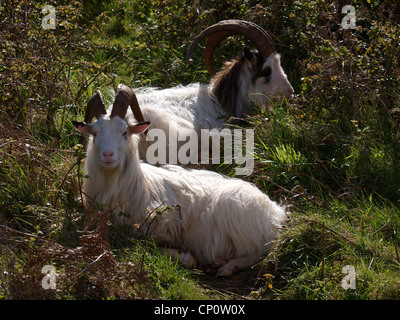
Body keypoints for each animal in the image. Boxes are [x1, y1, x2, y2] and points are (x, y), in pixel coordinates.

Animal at [73, 87, 286, 276]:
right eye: (95, 134)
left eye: (124, 132)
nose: (108, 155)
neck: (139, 186)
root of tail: (276, 212)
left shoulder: (163, 226)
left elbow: (145, 245)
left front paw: (185, 257)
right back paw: (219, 261)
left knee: (257, 254)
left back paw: (227, 267)